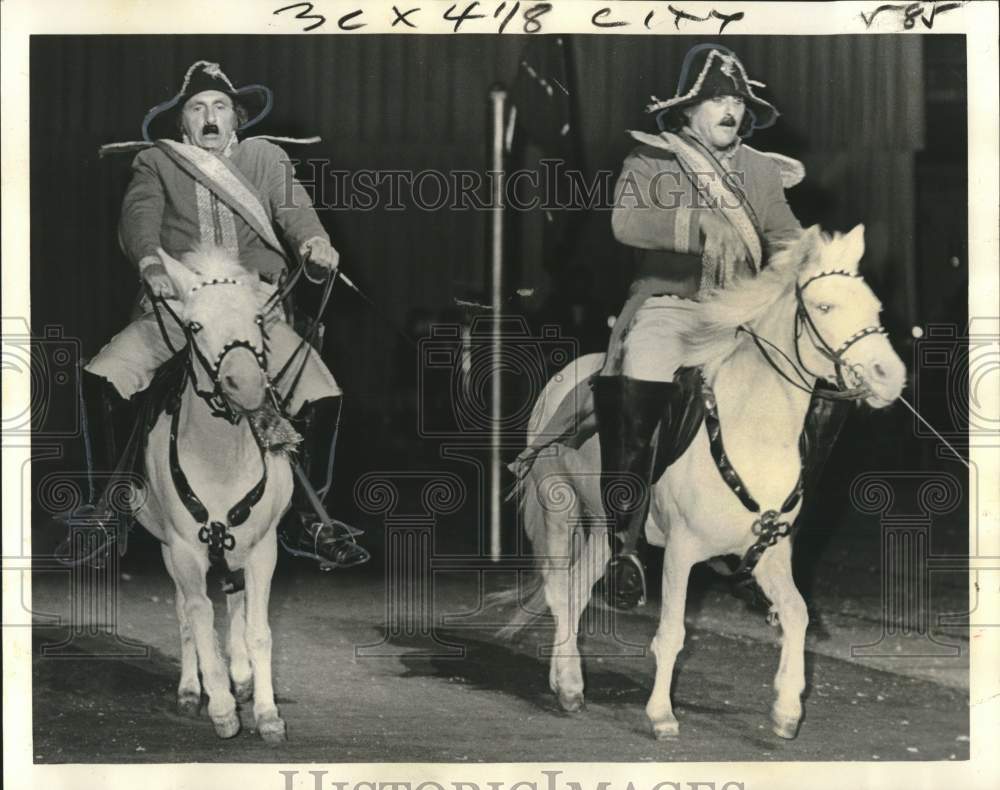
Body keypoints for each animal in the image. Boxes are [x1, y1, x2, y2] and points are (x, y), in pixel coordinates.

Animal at [131, 246, 292, 744]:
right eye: (194, 326)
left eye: (258, 318)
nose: (247, 384)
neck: (221, 456)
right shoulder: (184, 551)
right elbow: (199, 616)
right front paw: (221, 707)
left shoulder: (262, 550)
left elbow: (258, 629)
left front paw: (266, 712)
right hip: (168, 549)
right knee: (186, 613)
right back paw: (191, 689)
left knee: (236, 603)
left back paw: (241, 675)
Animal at [508, 227, 908, 744]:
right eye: (824, 307)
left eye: (875, 308)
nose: (890, 377)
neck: (753, 429)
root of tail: (565, 377)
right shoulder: (681, 551)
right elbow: (673, 633)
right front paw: (661, 714)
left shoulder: (771, 554)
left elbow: (797, 615)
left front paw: (786, 709)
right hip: (559, 511)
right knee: (560, 592)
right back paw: (571, 682)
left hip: (603, 527)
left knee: (577, 591)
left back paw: (568, 682)